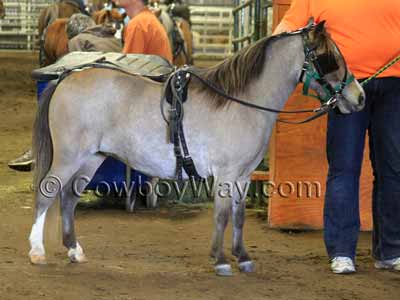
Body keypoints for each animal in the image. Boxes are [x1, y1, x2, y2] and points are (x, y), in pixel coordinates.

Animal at [28, 22, 366, 276]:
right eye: (328, 57)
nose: (359, 96)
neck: (241, 103)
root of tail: (66, 78)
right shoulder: (226, 174)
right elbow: (221, 215)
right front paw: (220, 261)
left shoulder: (243, 177)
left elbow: (238, 217)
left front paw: (242, 258)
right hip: (69, 157)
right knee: (47, 192)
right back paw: (37, 251)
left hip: (92, 159)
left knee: (69, 197)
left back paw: (74, 250)